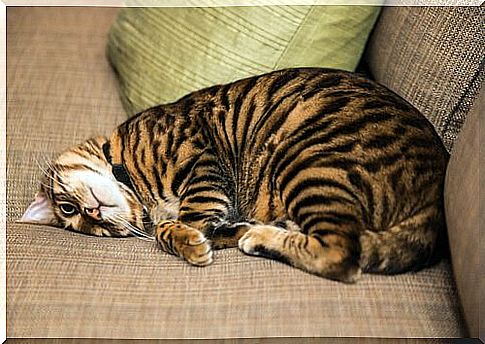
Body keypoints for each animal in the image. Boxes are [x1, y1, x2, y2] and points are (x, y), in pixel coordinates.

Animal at [21, 68, 446, 284]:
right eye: (86, 225)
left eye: (67, 208)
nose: (92, 214)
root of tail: (436, 197)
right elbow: (208, 227)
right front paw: (207, 237)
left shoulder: (199, 155)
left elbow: (184, 221)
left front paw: (188, 240)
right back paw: (267, 234)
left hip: (308, 160)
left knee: (340, 255)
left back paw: (263, 237)